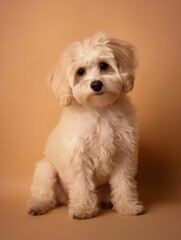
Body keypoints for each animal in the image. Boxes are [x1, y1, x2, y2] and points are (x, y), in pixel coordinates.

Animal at [27, 32, 144, 219]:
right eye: (80, 71)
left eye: (104, 65)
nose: (96, 84)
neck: (100, 109)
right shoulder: (78, 157)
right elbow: (82, 184)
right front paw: (83, 209)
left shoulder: (124, 154)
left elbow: (124, 183)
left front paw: (128, 206)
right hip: (45, 170)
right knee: (44, 194)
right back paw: (38, 205)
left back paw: (106, 200)